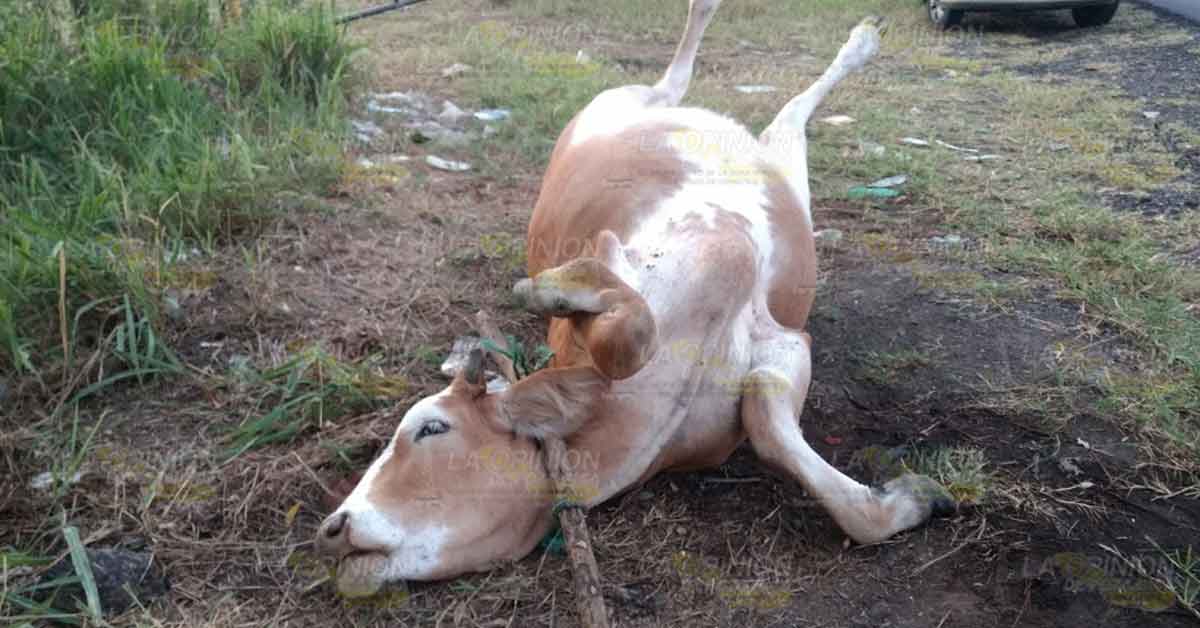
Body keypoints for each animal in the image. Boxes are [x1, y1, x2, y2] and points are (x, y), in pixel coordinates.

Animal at [315, 0, 955, 598]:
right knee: (761, 108)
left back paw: (851, 39)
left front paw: (548, 288)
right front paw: (913, 499)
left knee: (734, 92)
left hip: (713, 142)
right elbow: (774, 431)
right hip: (769, 166)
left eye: (430, 428)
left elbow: (629, 333)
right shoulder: (776, 343)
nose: (332, 528)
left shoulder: (729, 269)